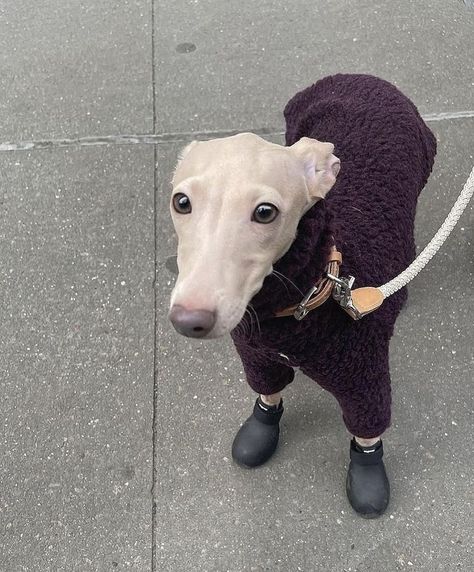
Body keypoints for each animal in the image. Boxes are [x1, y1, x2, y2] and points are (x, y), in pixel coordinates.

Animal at [168, 73, 436, 516]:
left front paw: (367, 474)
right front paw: (261, 427)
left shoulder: (364, 376)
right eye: (181, 201)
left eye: (265, 212)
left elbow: (367, 430)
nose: (189, 320)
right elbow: (267, 393)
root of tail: (362, 76)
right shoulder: (257, 354)